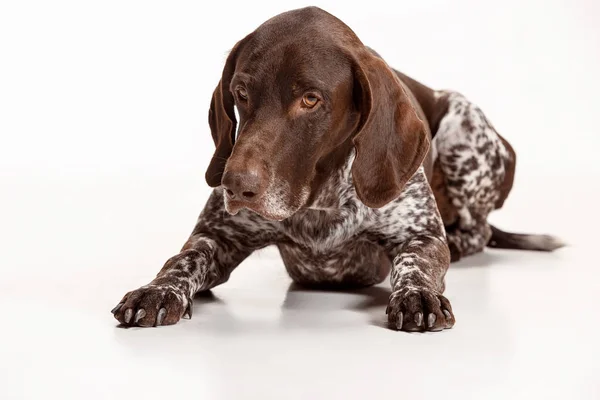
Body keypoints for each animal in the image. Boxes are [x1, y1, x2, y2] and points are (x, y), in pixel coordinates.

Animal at [111, 7, 564, 332]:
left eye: (311, 99)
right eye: (240, 92)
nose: (235, 187)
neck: (320, 201)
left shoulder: (421, 235)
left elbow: (414, 262)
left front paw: (417, 294)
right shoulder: (217, 236)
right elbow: (181, 260)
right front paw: (156, 290)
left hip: (464, 129)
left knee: (479, 230)